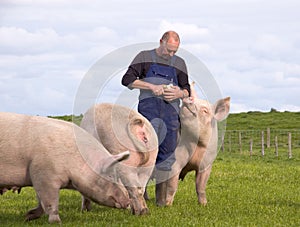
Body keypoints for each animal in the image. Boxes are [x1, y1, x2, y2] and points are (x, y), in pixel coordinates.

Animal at [0, 111, 130, 223]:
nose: (128, 202)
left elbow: (41, 202)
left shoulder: (38, 177)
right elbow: (50, 202)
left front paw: (27, 216)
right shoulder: (44, 175)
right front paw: (56, 222)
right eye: (111, 175)